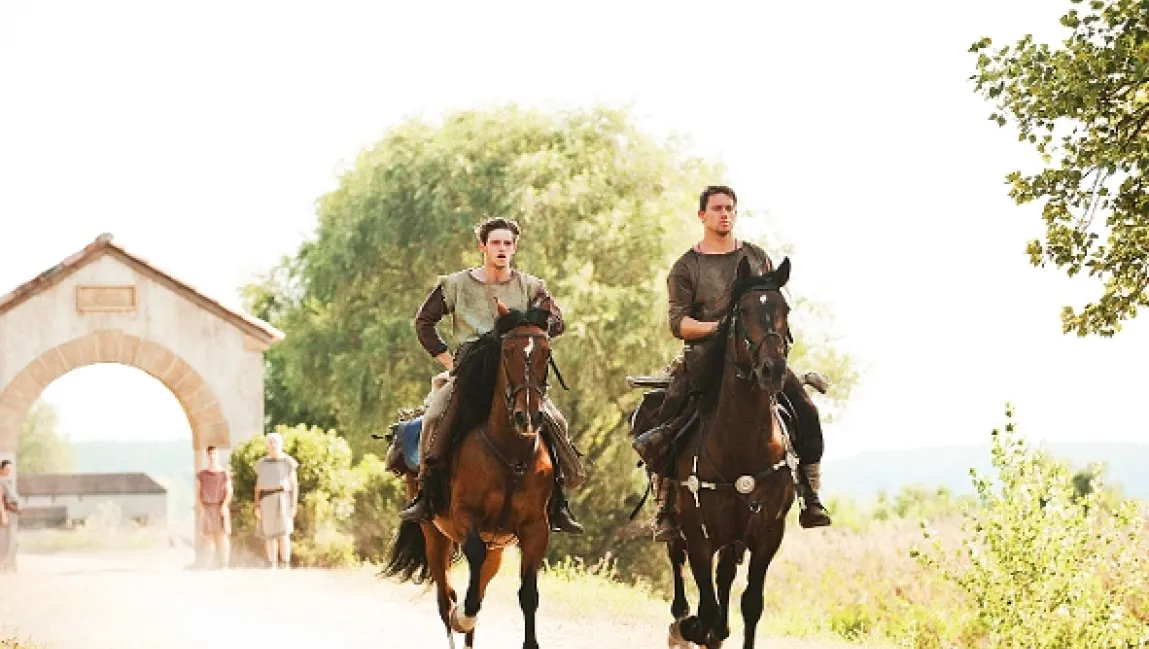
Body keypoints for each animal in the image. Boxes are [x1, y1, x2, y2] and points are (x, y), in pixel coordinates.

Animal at [384, 301, 560, 649]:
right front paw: (463, 616)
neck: (511, 455)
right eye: (507, 351)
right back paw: (458, 616)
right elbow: (471, 575)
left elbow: (528, 594)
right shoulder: (466, 517)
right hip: (434, 535)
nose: (527, 417)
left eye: (546, 352)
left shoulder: (535, 529)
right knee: (446, 597)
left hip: (497, 548)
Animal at [663, 256, 801, 649]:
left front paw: (718, 630)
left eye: (785, 309)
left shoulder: (767, 535)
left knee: (724, 576)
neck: (741, 446)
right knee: (676, 559)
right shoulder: (699, 536)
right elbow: (706, 609)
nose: (773, 370)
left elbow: (750, 604)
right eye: (743, 311)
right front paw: (692, 627)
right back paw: (680, 620)